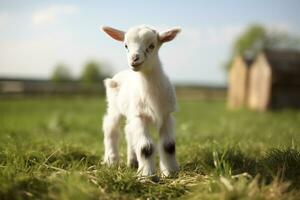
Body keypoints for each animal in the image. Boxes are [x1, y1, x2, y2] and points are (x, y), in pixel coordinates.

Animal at [101, 24, 180, 177]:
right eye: (126, 45)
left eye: (152, 46)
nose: (134, 59)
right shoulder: (140, 115)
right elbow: (146, 147)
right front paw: (147, 175)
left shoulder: (167, 115)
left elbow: (168, 146)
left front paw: (170, 172)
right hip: (114, 106)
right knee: (110, 127)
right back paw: (111, 160)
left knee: (128, 131)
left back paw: (132, 161)